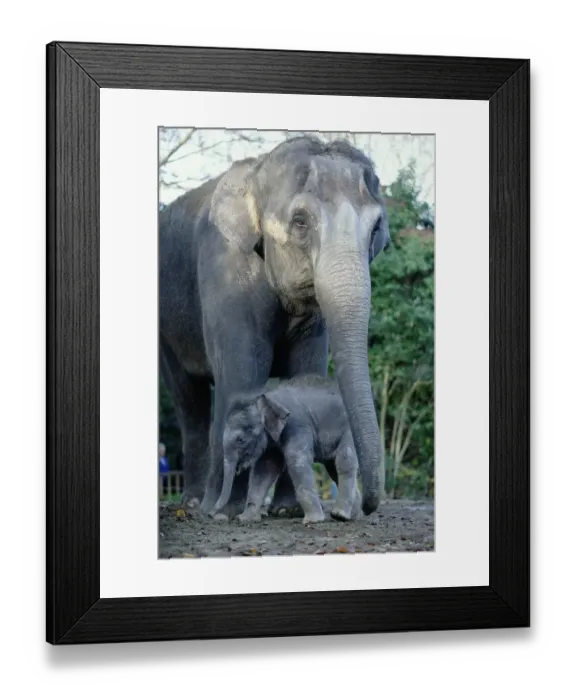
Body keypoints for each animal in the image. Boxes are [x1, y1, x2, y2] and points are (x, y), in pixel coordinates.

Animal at [216, 373, 363, 524]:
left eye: (240, 440)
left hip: (350, 431)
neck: (267, 398)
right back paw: (351, 516)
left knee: (345, 460)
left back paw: (340, 514)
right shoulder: (272, 442)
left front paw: (312, 520)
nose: (213, 513)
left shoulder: (297, 425)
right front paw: (245, 519)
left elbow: (297, 461)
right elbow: (264, 469)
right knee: (334, 468)